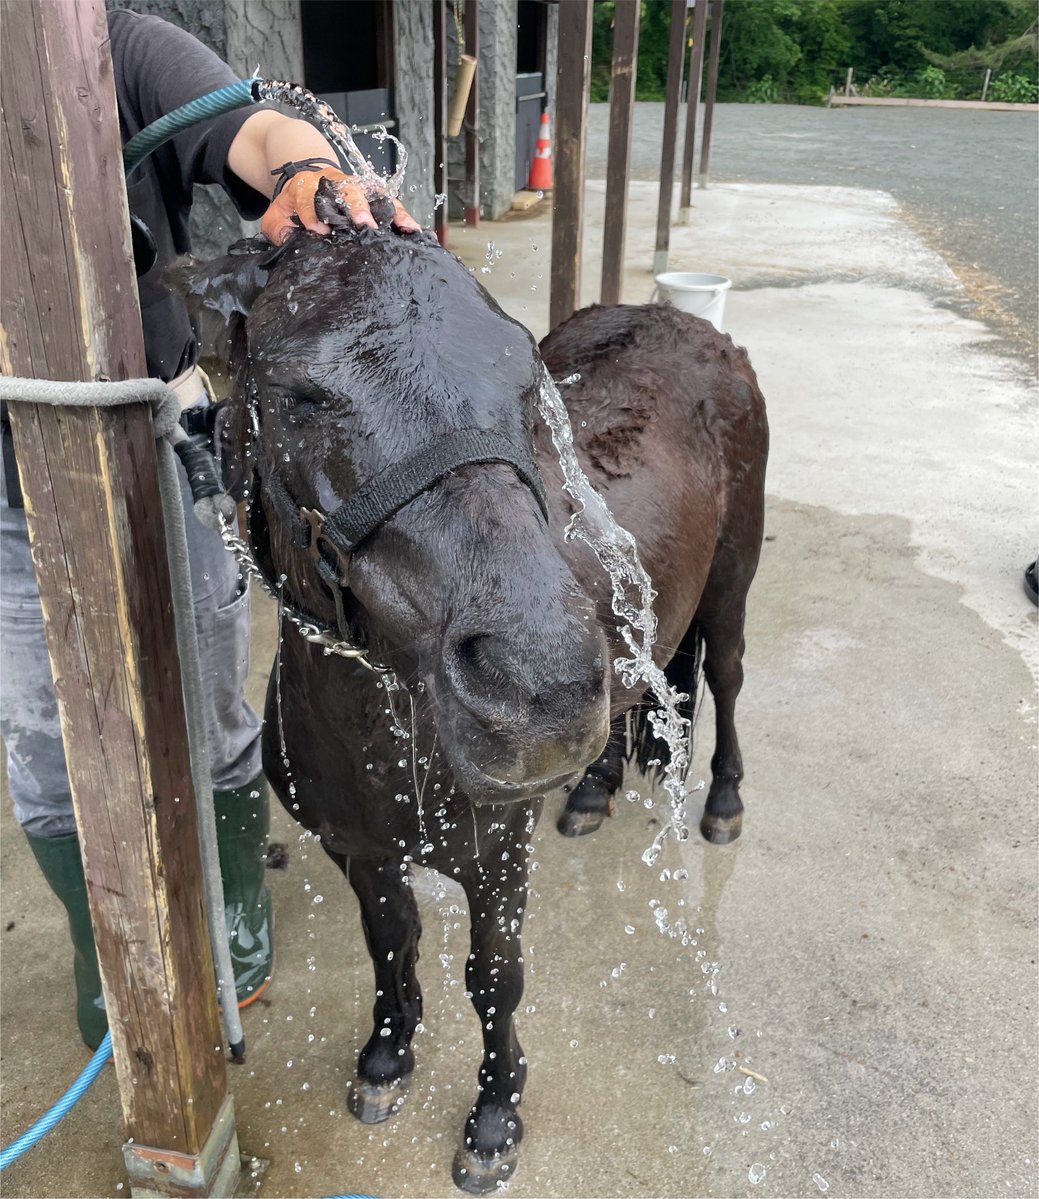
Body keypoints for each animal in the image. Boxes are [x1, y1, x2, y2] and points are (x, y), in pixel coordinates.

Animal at [176, 185, 767, 1194]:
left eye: (525, 382)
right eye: (298, 395)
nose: (544, 686)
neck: (384, 734)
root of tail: (692, 325)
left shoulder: (496, 861)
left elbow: (494, 979)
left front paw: (494, 1117)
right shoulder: (357, 847)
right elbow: (392, 939)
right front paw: (386, 1057)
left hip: (728, 590)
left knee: (722, 683)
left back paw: (721, 800)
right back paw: (593, 789)